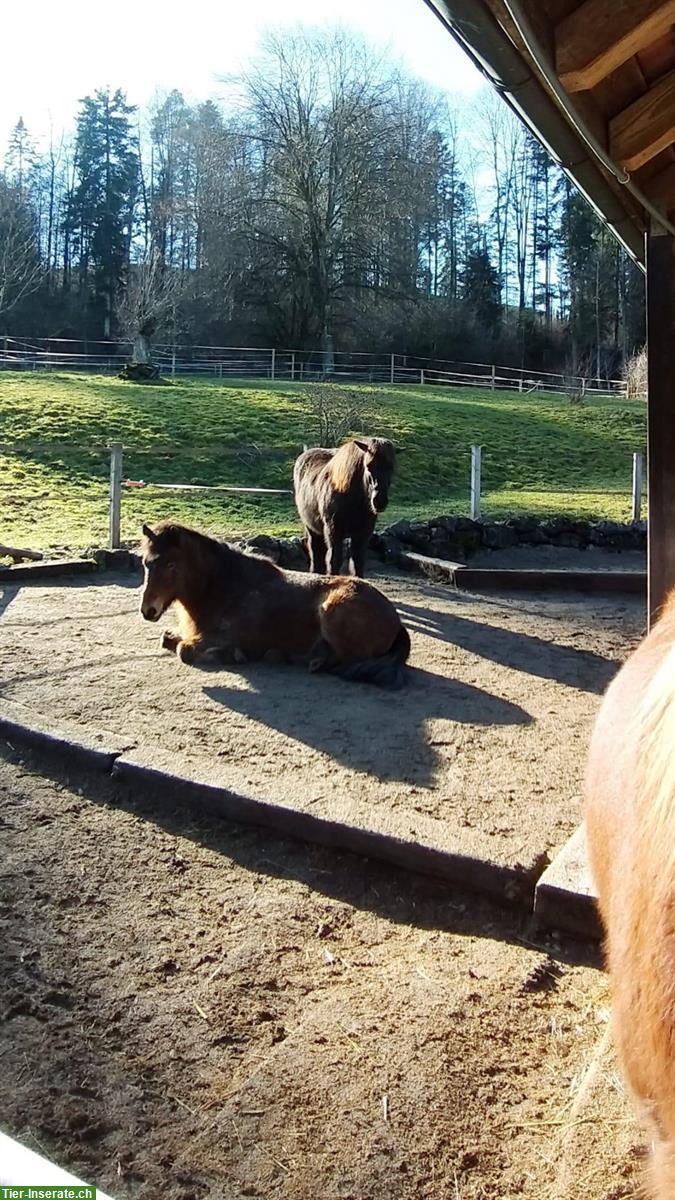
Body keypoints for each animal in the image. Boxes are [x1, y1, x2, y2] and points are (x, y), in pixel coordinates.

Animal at [139, 520, 408, 691]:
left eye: (171, 565)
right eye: (146, 563)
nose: (148, 610)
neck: (227, 586)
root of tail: (395, 619)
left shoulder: (225, 636)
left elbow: (184, 650)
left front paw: (233, 655)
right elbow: (168, 639)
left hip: (332, 609)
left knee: (348, 660)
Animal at [293, 436, 396, 576]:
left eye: (391, 467)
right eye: (368, 466)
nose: (379, 501)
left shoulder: (363, 532)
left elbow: (357, 560)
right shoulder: (334, 530)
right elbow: (334, 559)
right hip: (311, 528)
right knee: (315, 551)